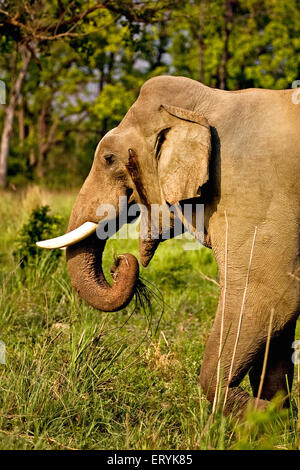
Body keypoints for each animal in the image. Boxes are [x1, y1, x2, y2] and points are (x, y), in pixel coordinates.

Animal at [37, 74, 300, 414]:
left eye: (109, 158)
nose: (120, 261)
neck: (208, 104)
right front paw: (274, 412)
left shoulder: (254, 191)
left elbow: (270, 293)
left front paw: (266, 414)